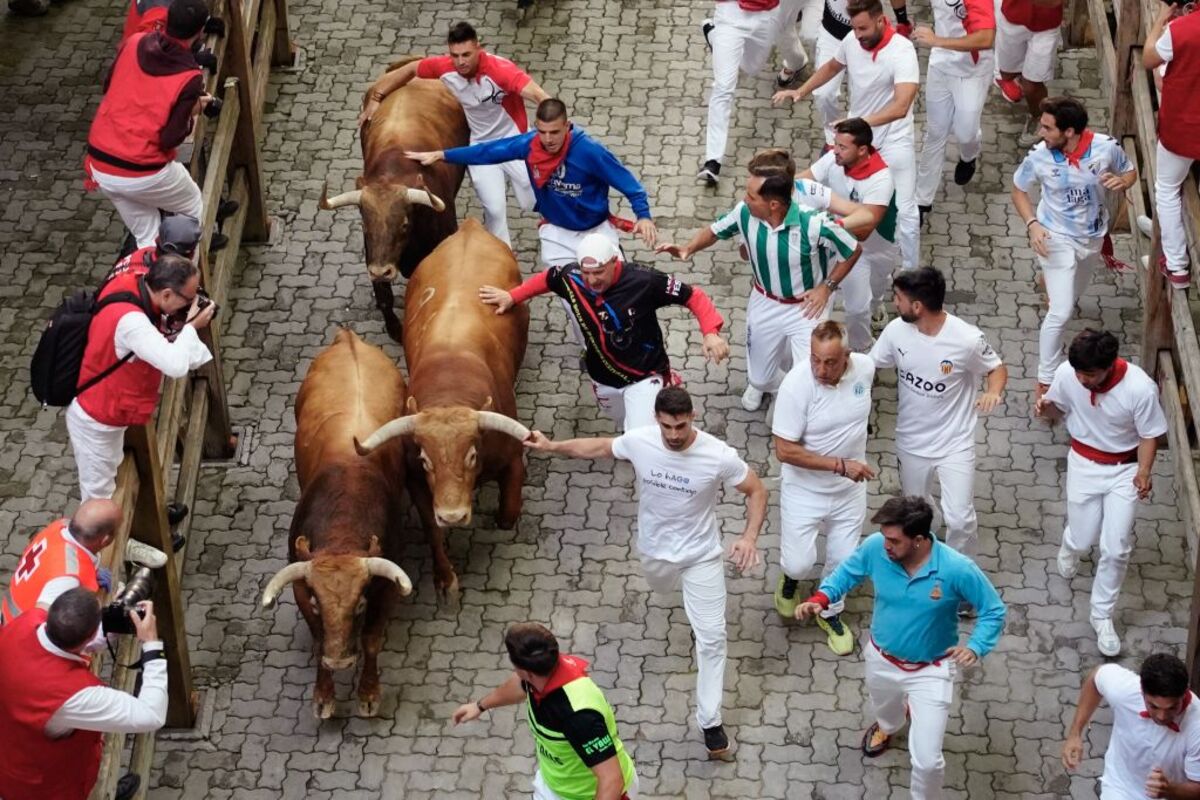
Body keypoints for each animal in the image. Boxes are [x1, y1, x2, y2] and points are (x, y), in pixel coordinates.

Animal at [261, 328, 412, 714]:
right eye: (318, 603)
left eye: (359, 604)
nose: (340, 661)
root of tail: (349, 338)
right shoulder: (301, 588)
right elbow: (318, 640)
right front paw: (324, 695)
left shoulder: (386, 590)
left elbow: (371, 640)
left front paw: (368, 693)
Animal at [319, 55, 468, 345]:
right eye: (365, 225)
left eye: (404, 224)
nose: (381, 271)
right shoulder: (373, 253)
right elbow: (384, 297)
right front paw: (394, 329)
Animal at [352, 217, 528, 594]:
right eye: (425, 459)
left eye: (472, 455)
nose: (453, 515)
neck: (451, 385)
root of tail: (470, 228)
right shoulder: (418, 484)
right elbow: (431, 529)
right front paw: (445, 577)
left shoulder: (511, 460)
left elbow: (508, 513)